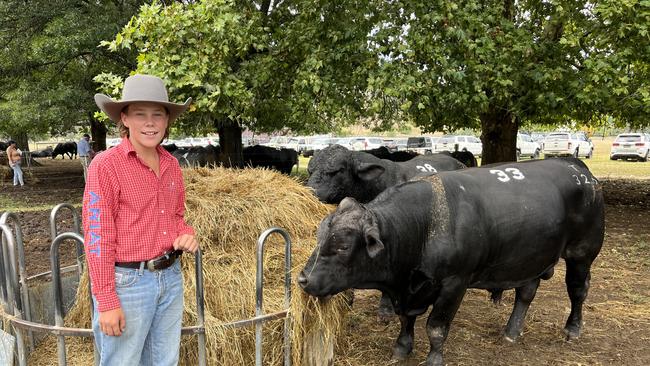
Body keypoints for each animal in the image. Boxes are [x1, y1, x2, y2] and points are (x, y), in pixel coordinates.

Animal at [298, 158, 604, 366]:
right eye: (319, 236)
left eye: (342, 245)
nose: (303, 279)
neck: (425, 225)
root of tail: (576, 167)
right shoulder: (410, 291)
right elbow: (406, 319)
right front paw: (402, 347)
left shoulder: (455, 283)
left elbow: (436, 326)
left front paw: (434, 358)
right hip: (530, 258)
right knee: (526, 293)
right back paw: (511, 331)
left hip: (582, 253)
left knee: (578, 291)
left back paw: (573, 328)